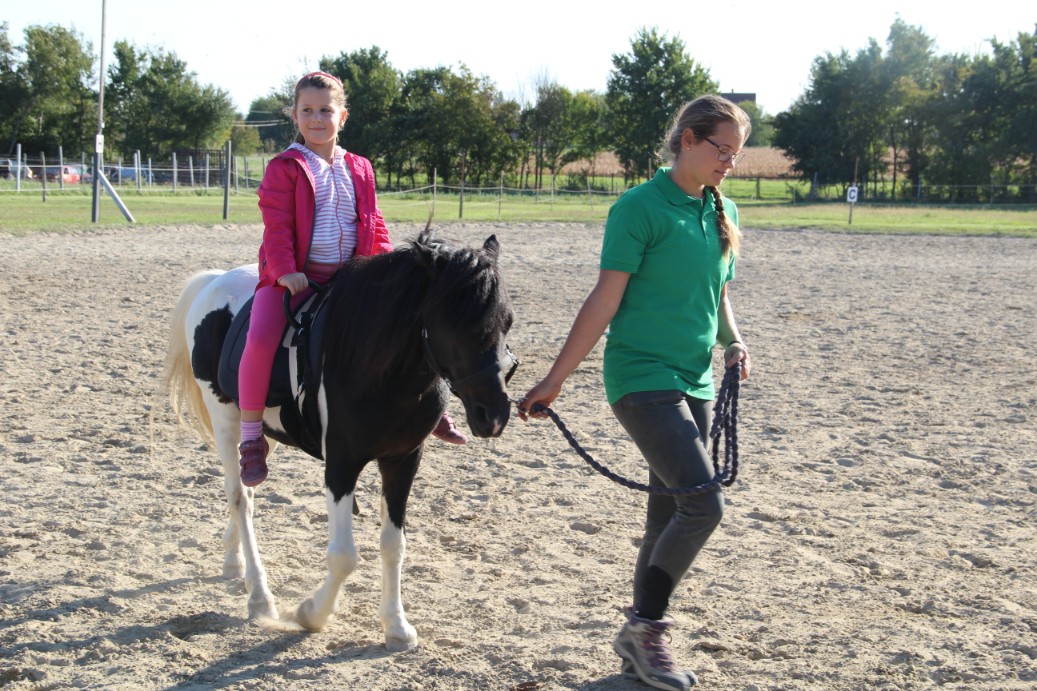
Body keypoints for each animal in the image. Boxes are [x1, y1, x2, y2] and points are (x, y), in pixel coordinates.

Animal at [163, 228, 516, 650]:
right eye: (453, 324)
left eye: (507, 321)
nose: (494, 414)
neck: (379, 367)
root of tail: (216, 280)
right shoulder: (341, 464)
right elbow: (344, 556)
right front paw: (311, 614)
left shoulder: (403, 460)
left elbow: (393, 544)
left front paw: (396, 625)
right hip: (226, 420)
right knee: (239, 498)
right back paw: (260, 596)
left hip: (264, 429)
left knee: (249, 483)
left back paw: (234, 562)